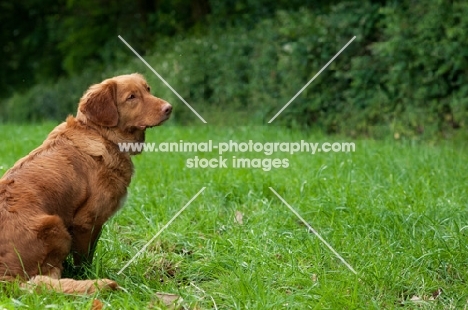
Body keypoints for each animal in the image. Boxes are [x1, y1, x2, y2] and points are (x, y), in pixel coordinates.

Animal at [0, 72, 172, 294]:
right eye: (131, 97)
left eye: (148, 89)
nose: (169, 108)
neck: (103, 135)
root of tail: (6, 280)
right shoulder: (87, 221)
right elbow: (84, 261)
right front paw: (88, 277)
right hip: (56, 227)